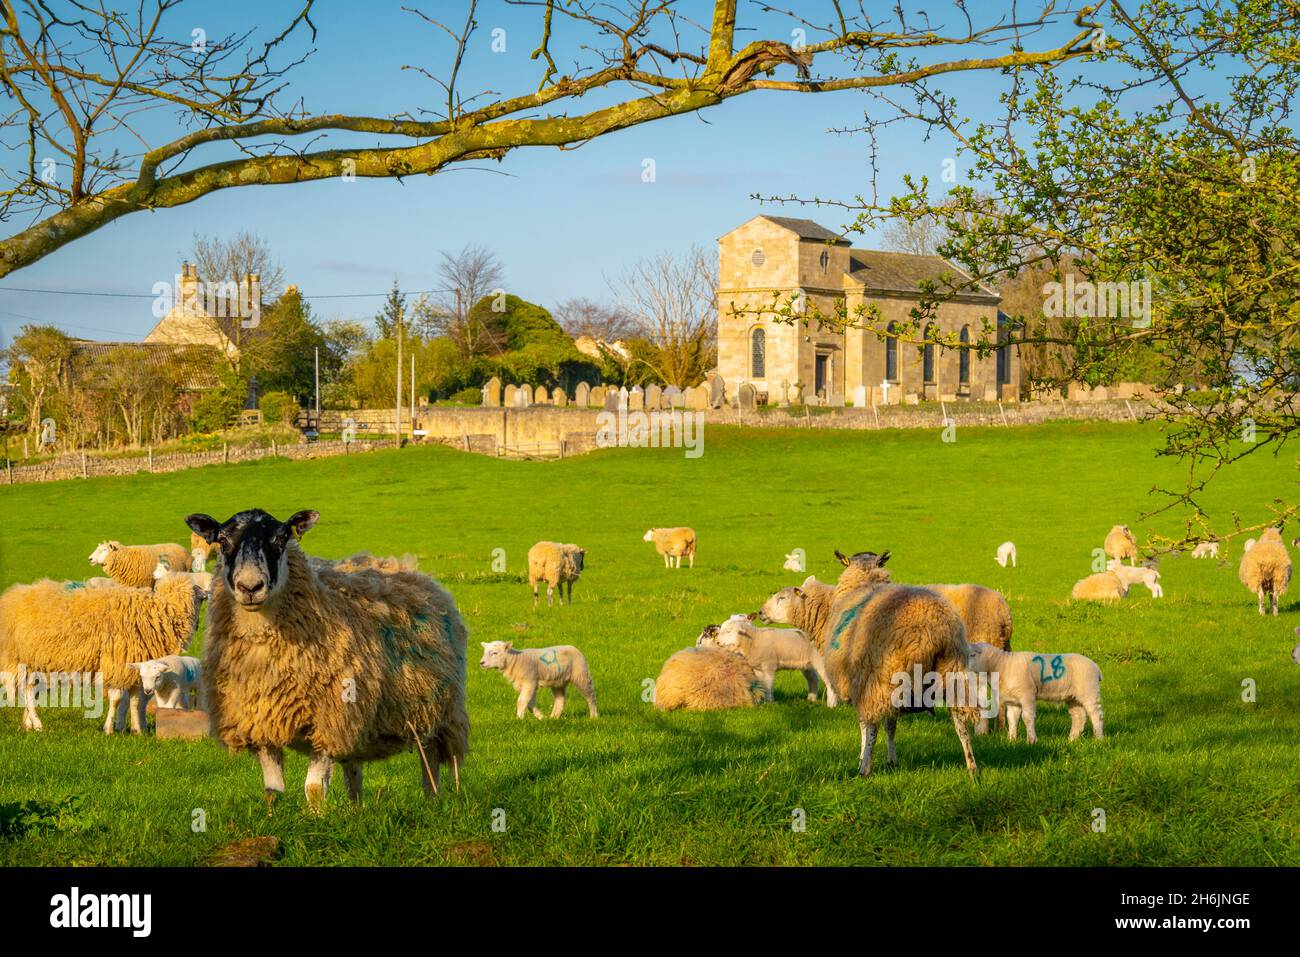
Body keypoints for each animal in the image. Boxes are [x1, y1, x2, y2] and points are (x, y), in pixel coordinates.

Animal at [0, 573, 204, 734]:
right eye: (197, 593)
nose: (206, 593)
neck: (162, 612)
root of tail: (10, 596)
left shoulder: (137, 669)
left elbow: (135, 701)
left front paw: (135, 730)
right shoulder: (117, 664)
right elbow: (116, 700)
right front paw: (109, 729)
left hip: (35, 663)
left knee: (29, 691)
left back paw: (29, 724)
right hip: (18, 659)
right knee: (25, 693)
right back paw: (37, 724)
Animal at [186, 508, 469, 811]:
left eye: (281, 538)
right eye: (222, 541)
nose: (250, 587)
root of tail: (406, 568)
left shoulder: (328, 720)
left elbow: (313, 788)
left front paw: (315, 818)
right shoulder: (260, 723)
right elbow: (272, 790)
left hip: (435, 711)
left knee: (429, 760)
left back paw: (432, 800)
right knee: (353, 768)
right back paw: (356, 808)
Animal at [967, 642, 1103, 742]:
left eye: (972, 655)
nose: (964, 667)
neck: (1001, 665)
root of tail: (1096, 667)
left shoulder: (1027, 695)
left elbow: (1027, 717)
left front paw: (1032, 740)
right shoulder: (1013, 701)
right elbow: (1012, 719)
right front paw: (1011, 739)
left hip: (1089, 691)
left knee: (1096, 714)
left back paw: (1098, 738)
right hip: (1072, 696)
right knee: (1078, 716)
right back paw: (1072, 739)